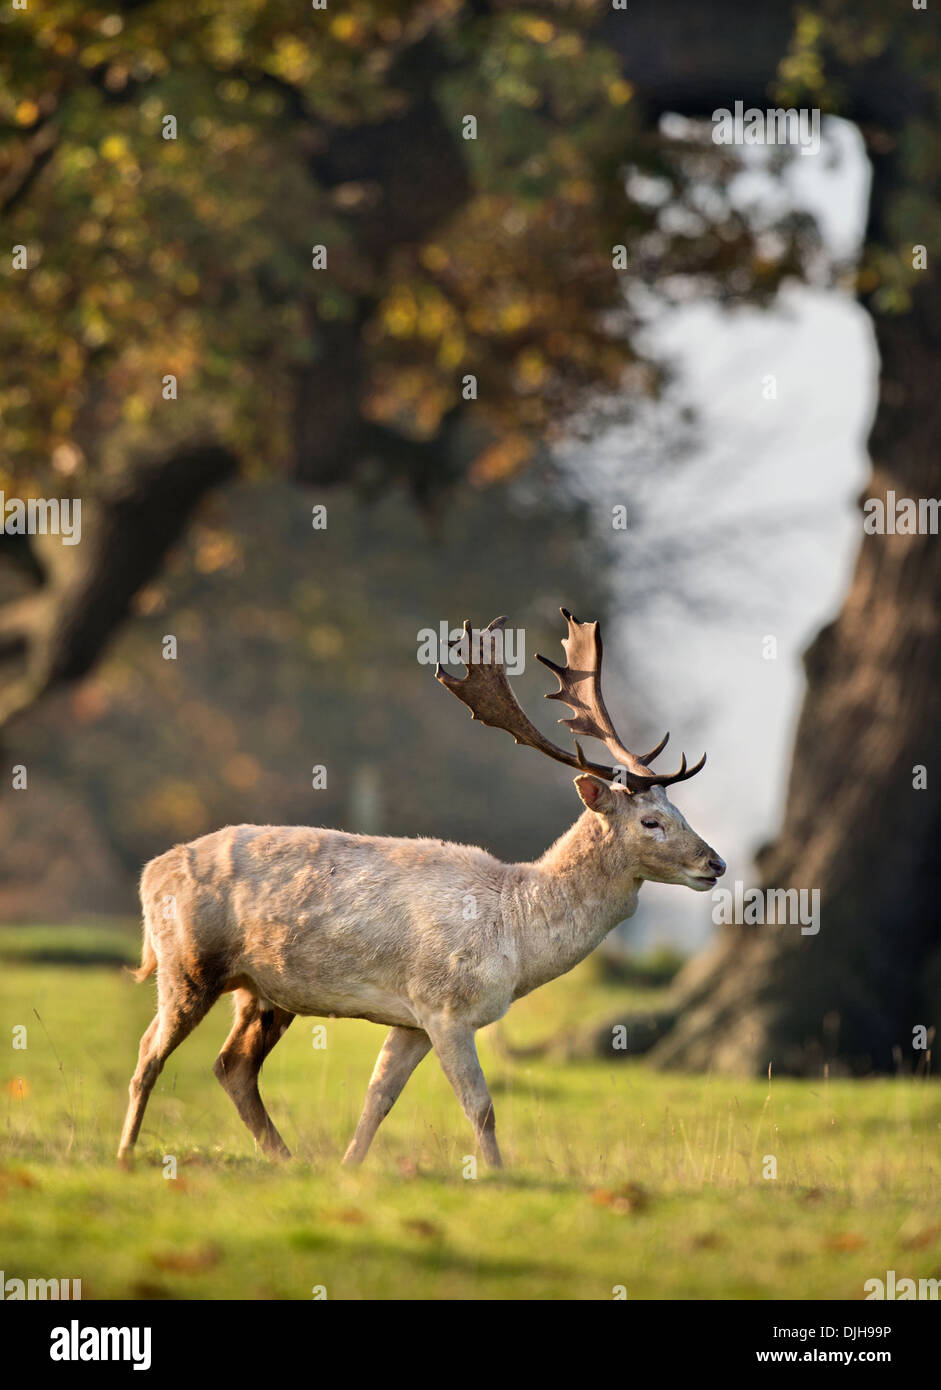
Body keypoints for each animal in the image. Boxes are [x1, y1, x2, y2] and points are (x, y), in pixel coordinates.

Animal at [115, 614, 717, 1167]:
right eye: (651, 822)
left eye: (680, 811)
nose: (715, 863)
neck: (516, 936)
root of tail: (150, 874)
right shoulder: (446, 1006)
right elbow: (481, 1106)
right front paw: (497, 1176)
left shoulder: (413, 1018)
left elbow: (378, 1096)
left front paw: (348, 1168)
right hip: (188, 963)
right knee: (148, 1052)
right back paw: (125, 1153)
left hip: (264, 991)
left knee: (231, 1066)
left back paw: (286, 1159)